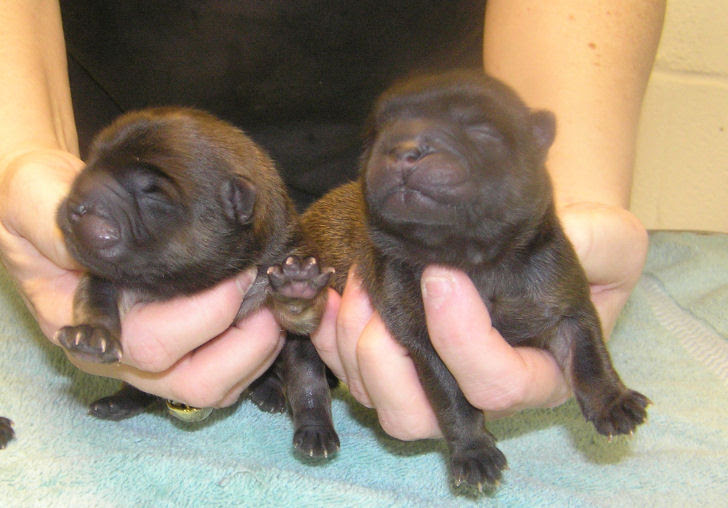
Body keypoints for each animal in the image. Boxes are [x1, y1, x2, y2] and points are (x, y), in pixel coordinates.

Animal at [56, 108, 338, 460]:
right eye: (90, 161)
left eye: (151, 191)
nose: (75, 204)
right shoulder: (110, 278)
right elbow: (94, 297)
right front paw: (92, 335)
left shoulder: (277, 268)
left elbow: (302, 332)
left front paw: (297, 289)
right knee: (139, 388)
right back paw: (120, 402)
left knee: (305, 378)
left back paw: (293, 411)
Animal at [302, 71, 648, 488]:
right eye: (376, 135)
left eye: (481, 130)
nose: (403, 148)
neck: (476, 259)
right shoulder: (424, 340)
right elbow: (454, 398)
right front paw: (474, 452)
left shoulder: (566, 299)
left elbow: (588, 355)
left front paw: (614, 402)